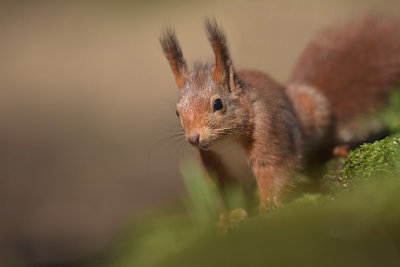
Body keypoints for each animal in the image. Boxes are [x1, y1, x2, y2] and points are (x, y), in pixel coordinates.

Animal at [159, 15, 400, 213]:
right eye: (178, 112)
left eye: (218, 104)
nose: (194, 138)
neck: (228, 143)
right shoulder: (215, 165)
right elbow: (229, 193)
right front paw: (229, 218)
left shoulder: (269, 133)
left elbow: (274, 170)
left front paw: (268, 204)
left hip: (317, 117)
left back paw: (335, 148)